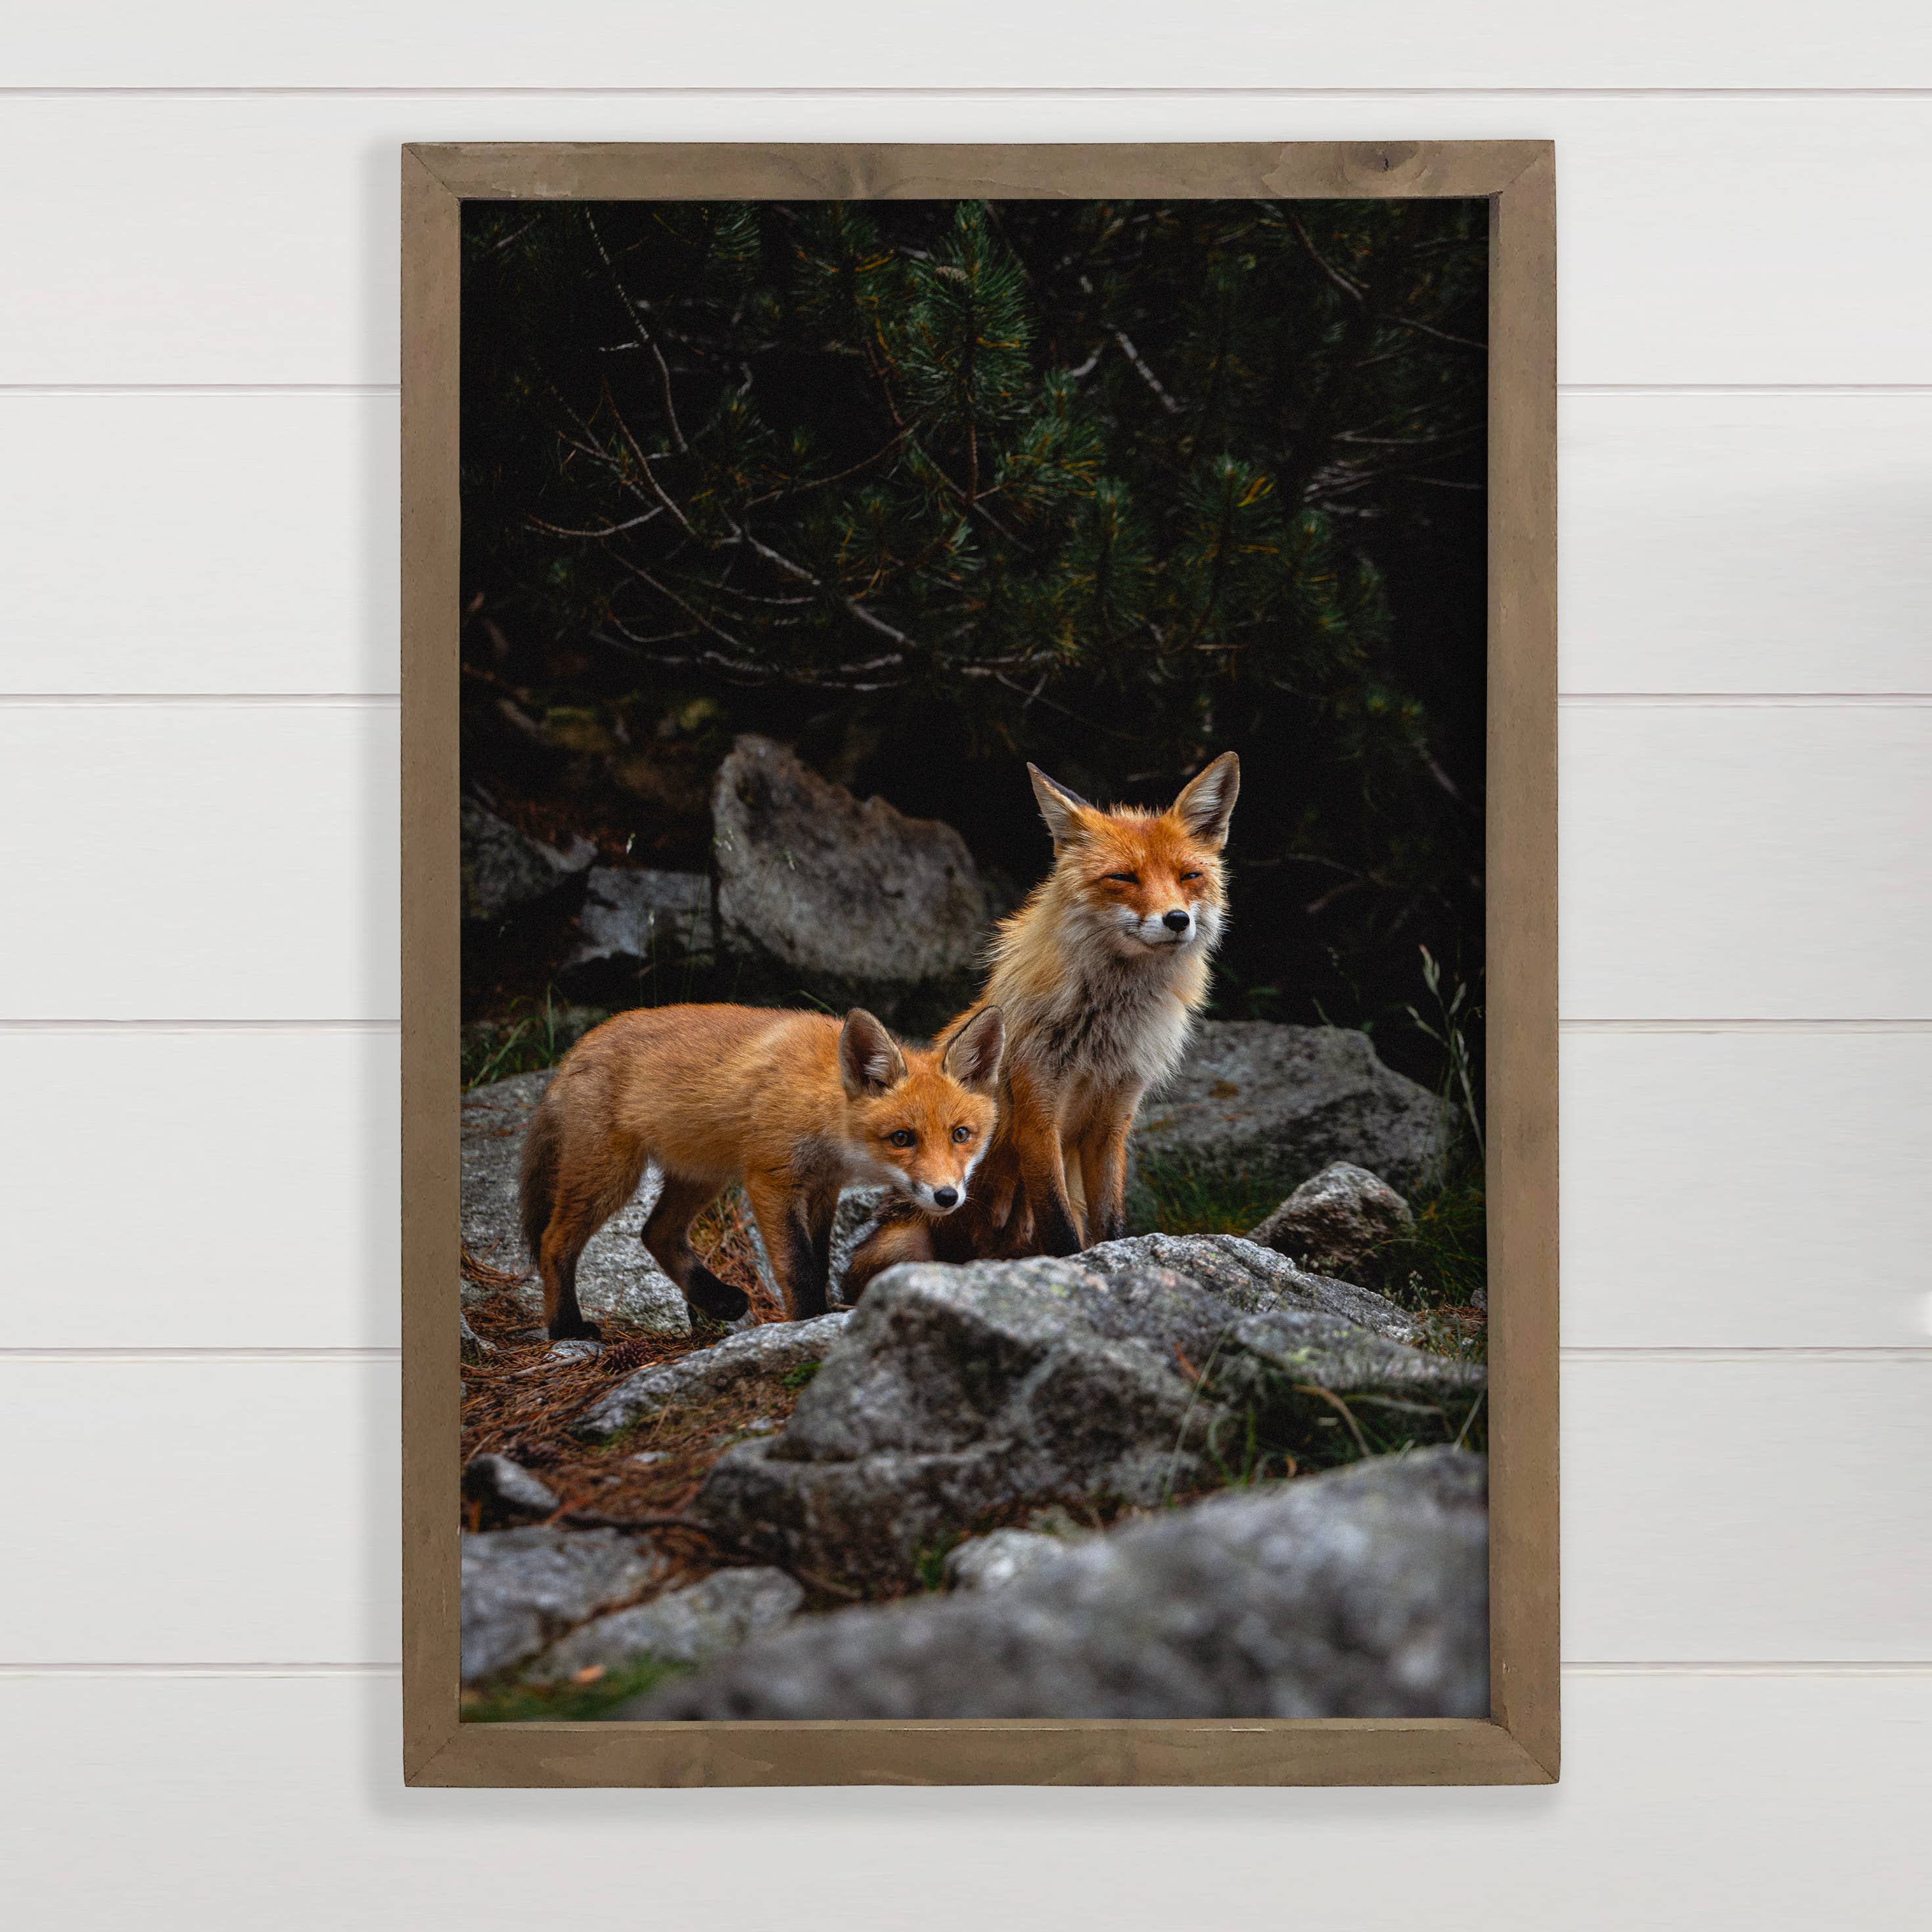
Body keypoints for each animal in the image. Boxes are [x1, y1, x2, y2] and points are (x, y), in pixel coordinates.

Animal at [518, 1001, 1006, 1338]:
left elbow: (819, 1259)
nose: (947, 1197)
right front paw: (809, 1321)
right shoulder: (771, 1181)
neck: (820, 1105)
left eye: (961, 1134)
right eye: (902, 1138)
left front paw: (818, 1315)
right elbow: (798, 1266)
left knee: (656, 1232)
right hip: (610, 1175)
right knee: (554, 1242)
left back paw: (716, 1299)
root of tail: (574, 1052)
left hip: (703, 1177)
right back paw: (566, 1328)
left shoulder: (822, 1188)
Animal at [843, 752, 1239, 1294]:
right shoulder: (1037, 1116)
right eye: (1124, 878)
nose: (1178, 920)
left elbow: (1110, 1224)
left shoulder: (1113, 1121)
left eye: (1189, 876)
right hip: (906, 1247)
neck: (1104, 1034)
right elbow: (1061, 1229)